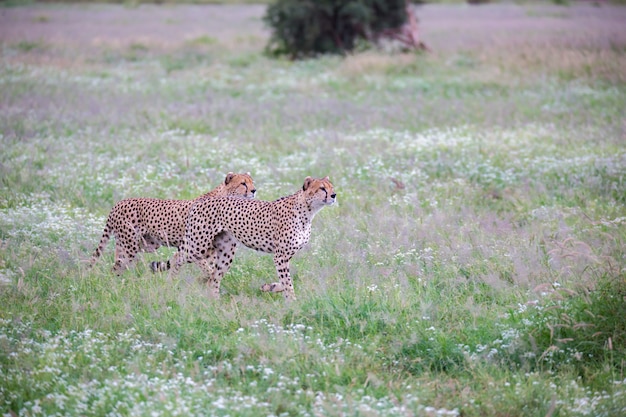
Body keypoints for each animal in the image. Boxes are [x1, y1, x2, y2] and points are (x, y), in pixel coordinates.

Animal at [89, 171, 255, 272]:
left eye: (252, 182)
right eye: (243, 184)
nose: (254, 190)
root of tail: (119, 202)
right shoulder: (192, 246)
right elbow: (206, 268)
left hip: (143, 244)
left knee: (118, 262)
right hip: (130, 245)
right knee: (117, 266)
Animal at [163, 176, 334, 300]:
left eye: (331, 187)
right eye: (322, 188)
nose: (334, 195)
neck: (308, 210)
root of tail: (200, 201)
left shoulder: (285, 255)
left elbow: (285, 280)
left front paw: (270, 287)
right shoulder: (280, 255)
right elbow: (287, 281)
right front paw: (292, 301)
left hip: (225, 252)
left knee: (213, 278)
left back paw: (215, 303)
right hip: (199, 245)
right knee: (177, 257)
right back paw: (170, 285)